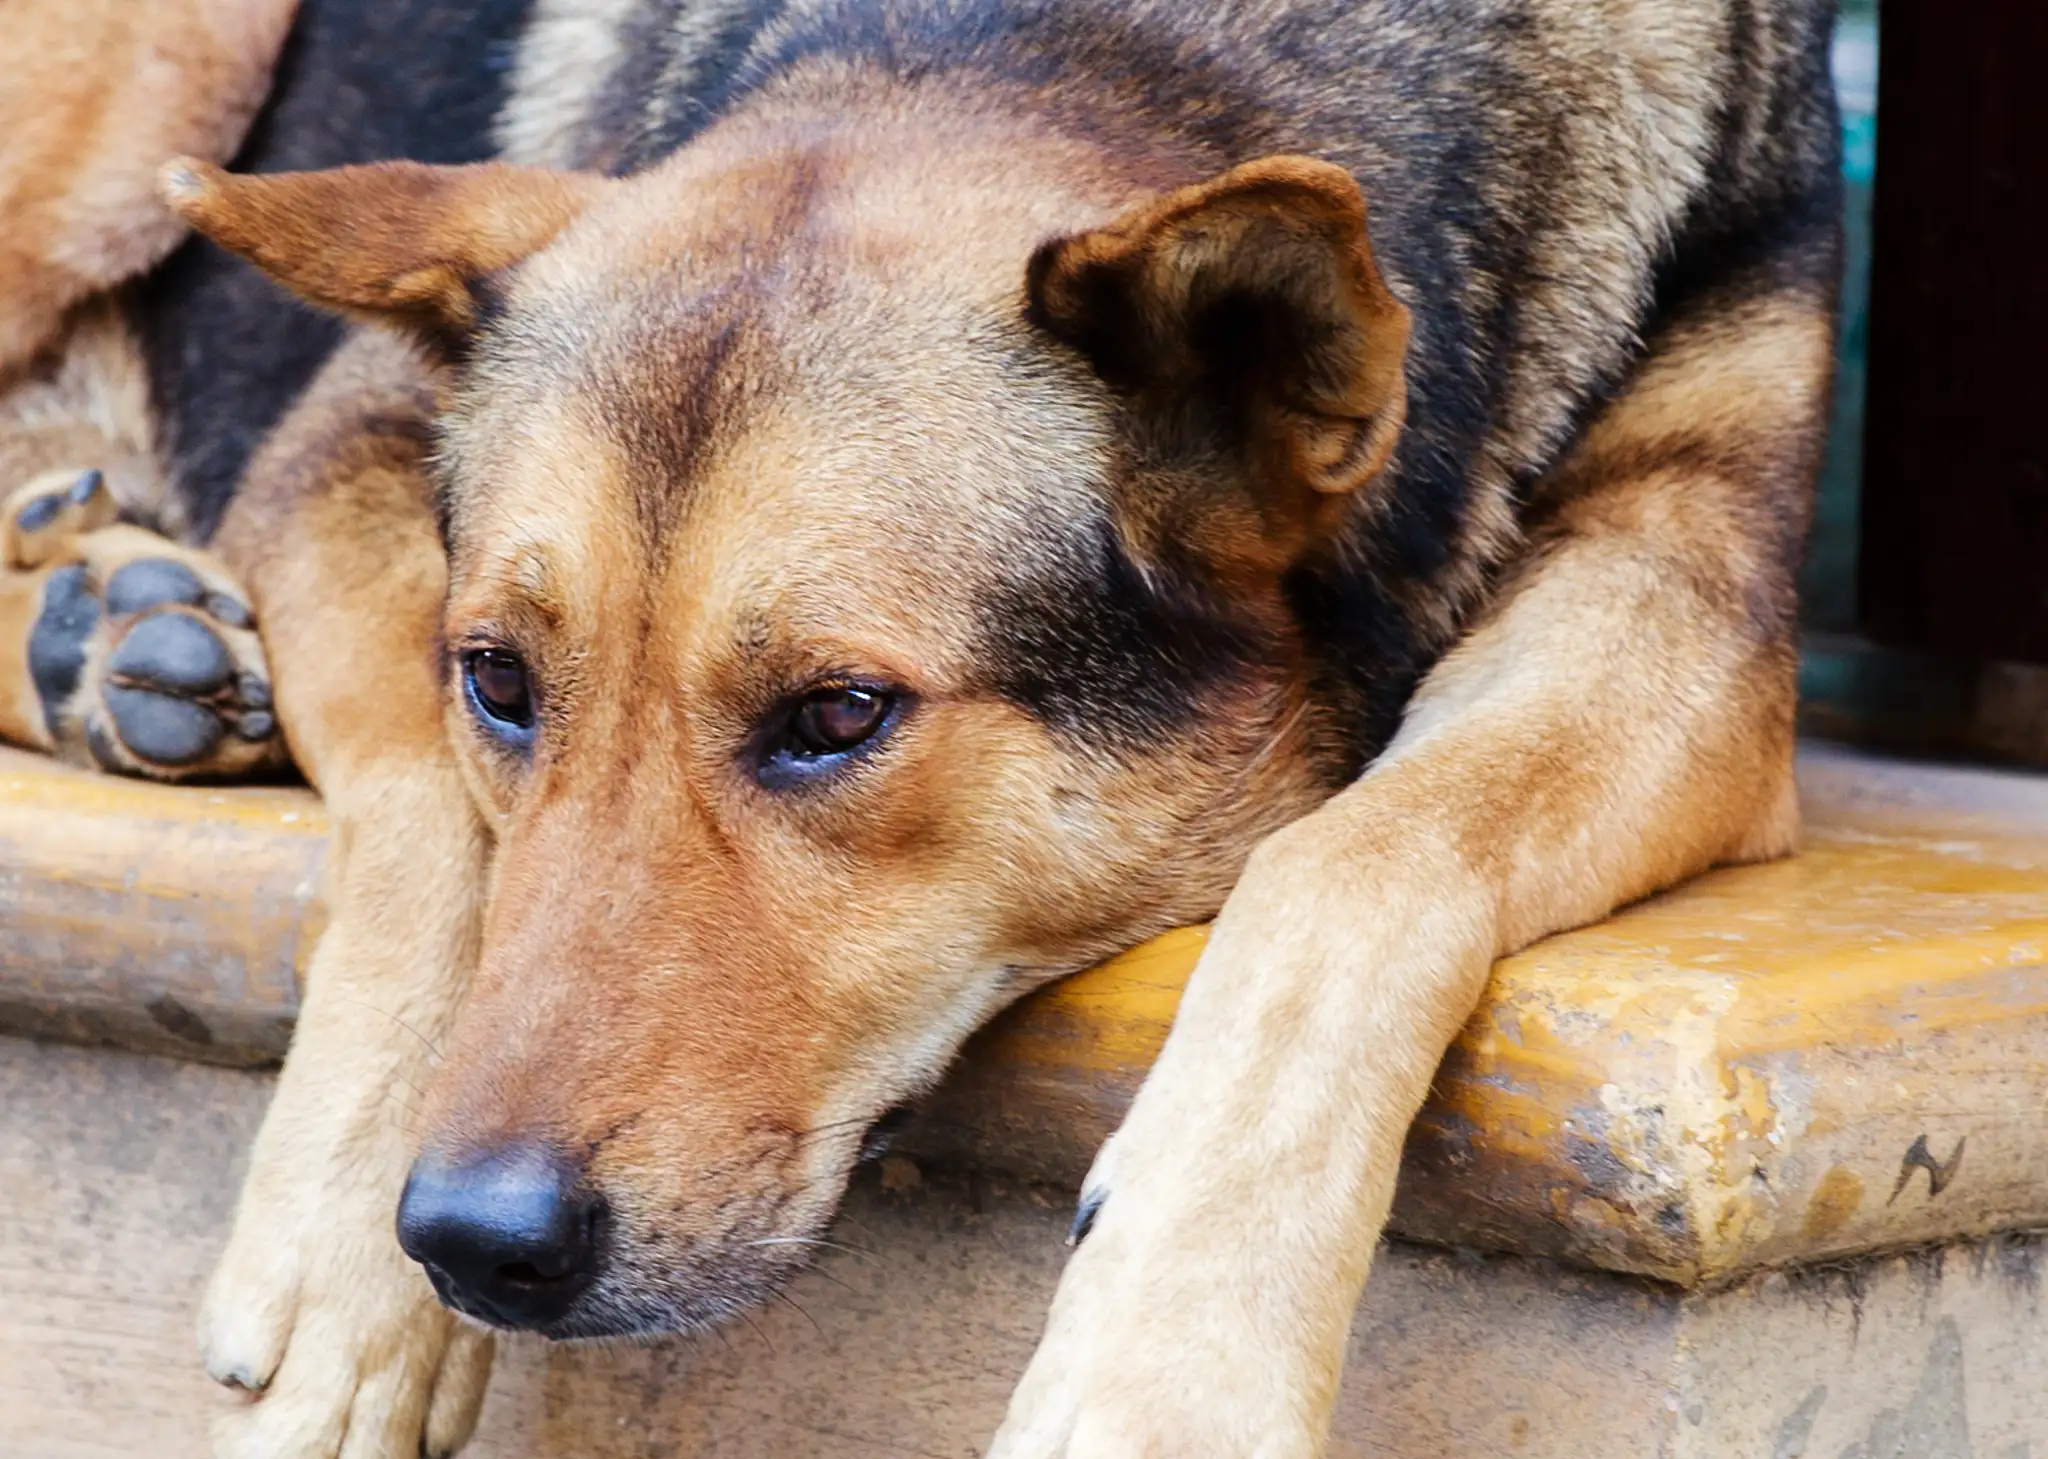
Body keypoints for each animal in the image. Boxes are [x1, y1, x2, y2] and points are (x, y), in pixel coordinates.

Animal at [0, 0, 1851, 1450]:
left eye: (835, 714)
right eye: (501, 684)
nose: (467, 1238)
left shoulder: (1683, 600)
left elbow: (1364, 855)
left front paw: (1167, 1357)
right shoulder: (343, 453)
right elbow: (432, 823)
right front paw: (346, 1268)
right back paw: (100, 619)